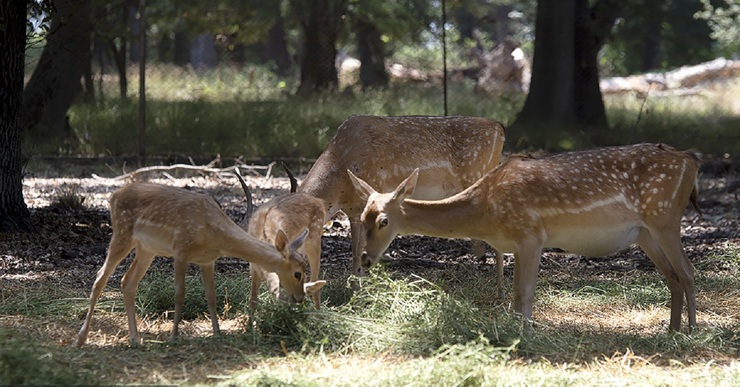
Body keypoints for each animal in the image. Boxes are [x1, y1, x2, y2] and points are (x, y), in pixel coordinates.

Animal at [75, 183, 320, 348]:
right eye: (298, 274)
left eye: (304, 270)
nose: (300, 298)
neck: (215, 235)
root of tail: (113, 196)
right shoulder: (181, 251)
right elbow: (179, 294)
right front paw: (173, 337)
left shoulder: (208, 260)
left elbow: (211, 296)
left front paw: (217, 332)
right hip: (122, 232)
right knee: (100, 277)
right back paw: (81, 339)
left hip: (147, 249)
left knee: (127, 282)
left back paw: (136, 339)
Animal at [234, 171, 326, 310]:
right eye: (297, 274)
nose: (299, 298)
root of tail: (319, 201)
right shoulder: (253, 267)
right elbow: (253, 300)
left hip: (315, 237)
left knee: (315, 282)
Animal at [350, 144, 704, 332]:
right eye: (361, 216)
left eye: (383, 221)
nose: (365, 258)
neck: (486, 213)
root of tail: (691, 160)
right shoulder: (516, 244)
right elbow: (516, 295)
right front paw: (515, 329)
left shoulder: (532, 235)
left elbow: (527, 291)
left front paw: (527, 332)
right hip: (645, 233)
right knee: (673, 276)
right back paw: (671, 330)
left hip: (665, 218)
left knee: (688, 271)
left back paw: (692, 330)